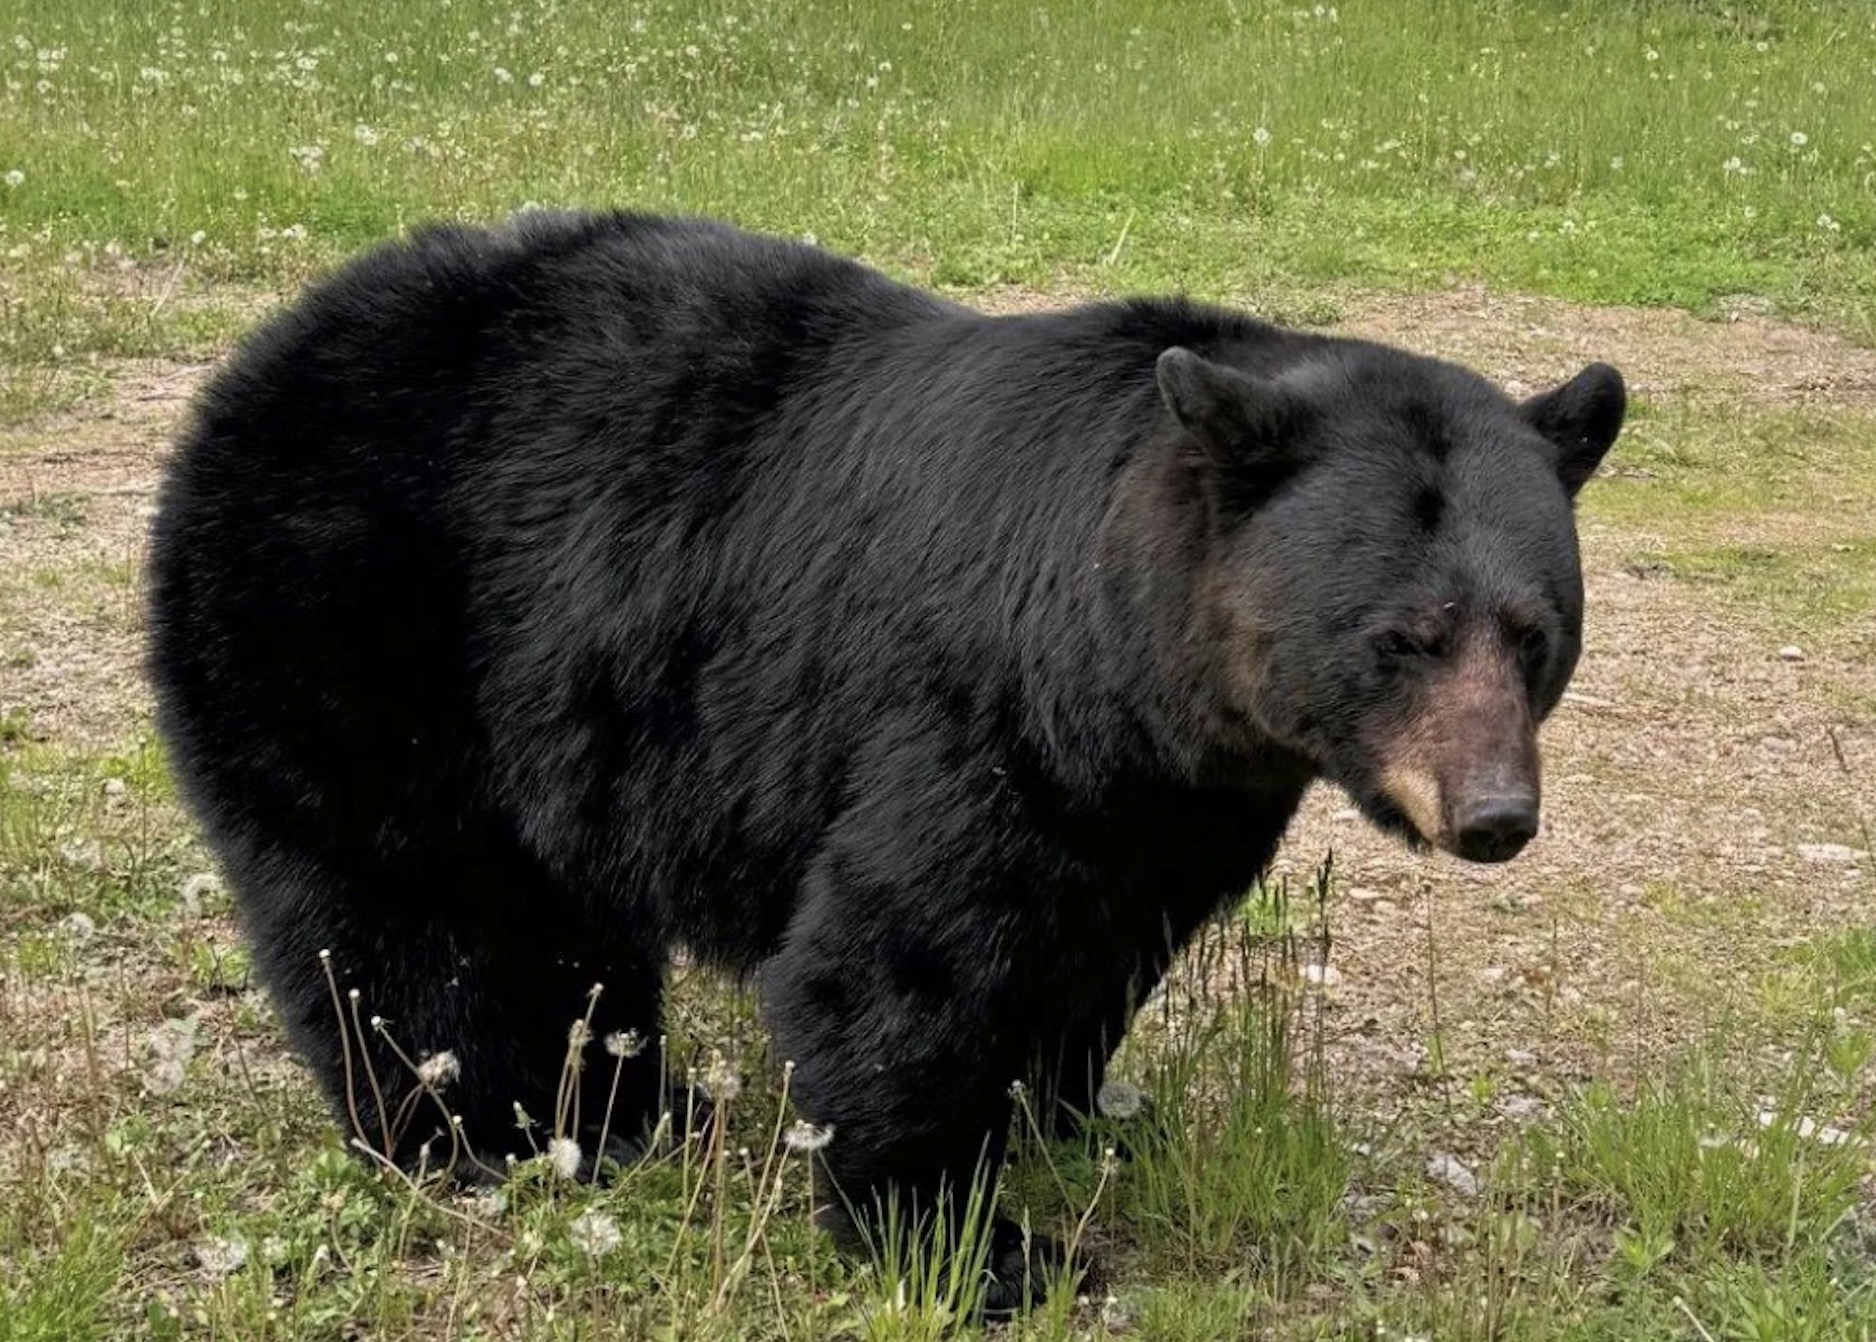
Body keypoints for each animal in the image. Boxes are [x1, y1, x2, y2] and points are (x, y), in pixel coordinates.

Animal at [146, 208, 1624, 1312]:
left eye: (1534, 632)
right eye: (1402, 636)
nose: (1495, 813)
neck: (1133, 657)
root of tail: (265, 349)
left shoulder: (1168, 797)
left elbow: (1103, 941)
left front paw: (1087, 1108)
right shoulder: (973, 714)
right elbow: (903, 959)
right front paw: (978, 1242)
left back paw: (626, 1100)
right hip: (356, 616)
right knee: (418, 913)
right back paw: (501, 1127)